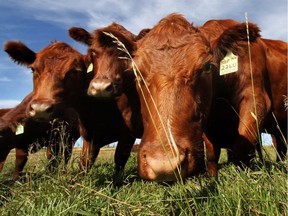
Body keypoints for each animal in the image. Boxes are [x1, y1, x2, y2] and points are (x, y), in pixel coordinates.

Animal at [3, 41, 136, 176]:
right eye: (33, 69)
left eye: (75, 71)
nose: (40, 109)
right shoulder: (88, 136)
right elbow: (83, 163)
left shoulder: (128, 133)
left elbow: (119, 160)